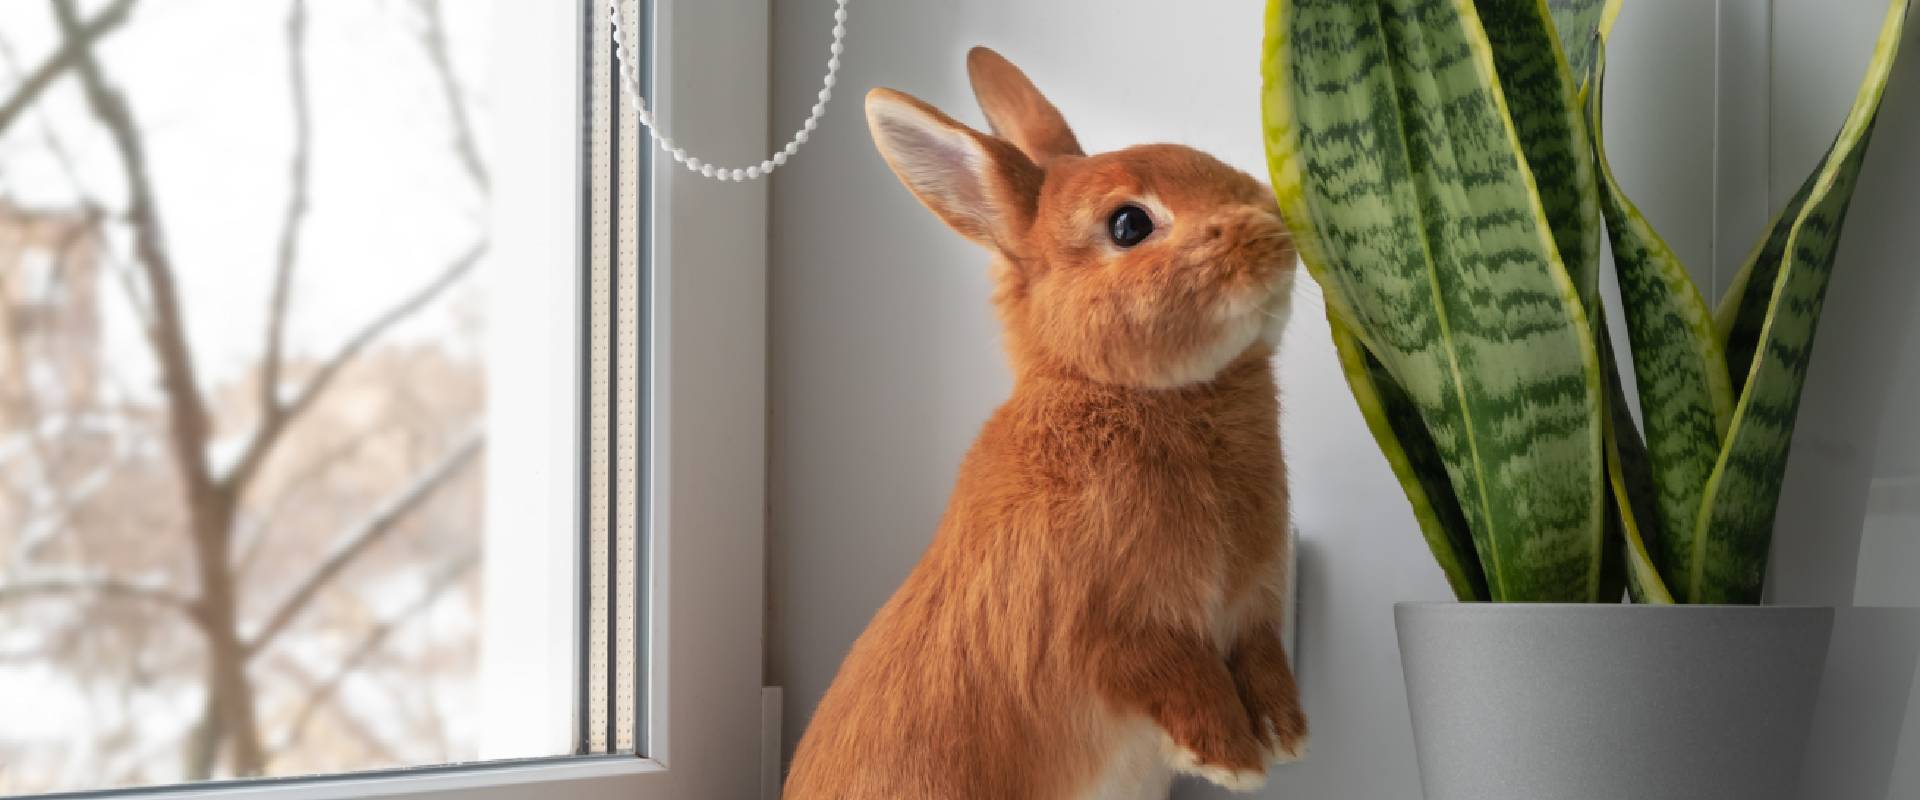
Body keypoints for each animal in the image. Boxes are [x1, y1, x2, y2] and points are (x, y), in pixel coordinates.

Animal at [779, 46, 1305, 794]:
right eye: (1128, 225)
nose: (1276, 236)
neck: (1125, 391)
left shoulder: (1255, 610)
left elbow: (1263, 661)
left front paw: (1286, 736)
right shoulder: (1103, 627)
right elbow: (1174, 672)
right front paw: (1229, 758)